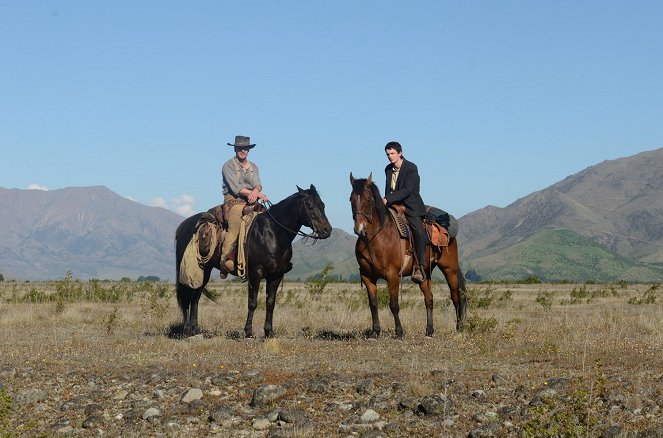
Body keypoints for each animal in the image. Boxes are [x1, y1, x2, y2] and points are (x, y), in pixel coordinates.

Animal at [175, 185, 332, 338]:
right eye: (309, 205)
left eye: (323, 205)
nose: (327, 230)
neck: (272, 233)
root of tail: (183, 225)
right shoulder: (255, 273)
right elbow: (252, 303)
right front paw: (248, 331)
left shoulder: (276, 276)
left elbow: (270, 303)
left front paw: (269, 332)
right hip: (193, 268)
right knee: (188, 297)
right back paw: (187, 329)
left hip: (205, 269)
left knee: (196, 296)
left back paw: (195, 329)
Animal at [352, 173, 466, 338]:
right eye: (351, 199)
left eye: (369, 199)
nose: (359, 228)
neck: (375, 239)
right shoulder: (367, 276)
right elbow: (373, 304)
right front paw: (375, 332)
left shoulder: (392, 275)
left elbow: (393, 304)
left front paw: (399, 332)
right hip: (425, 274)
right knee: (429, 299)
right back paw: (429, 331)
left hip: (450, 269)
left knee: (456, 296)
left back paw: (459, 328)